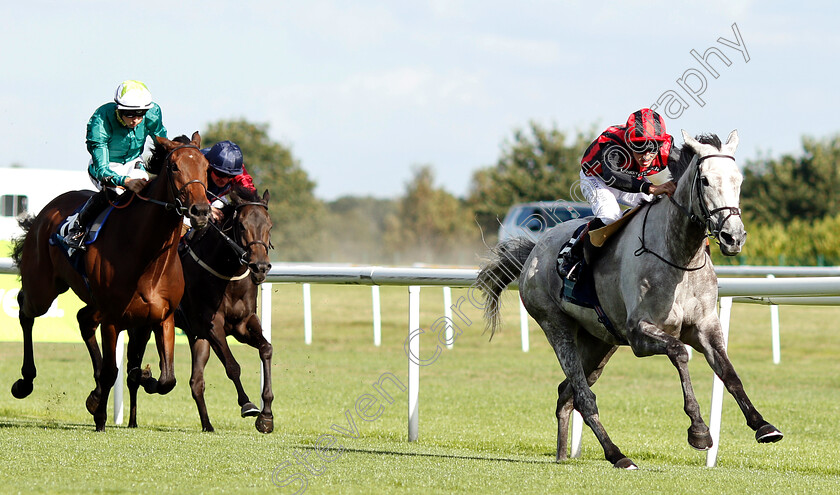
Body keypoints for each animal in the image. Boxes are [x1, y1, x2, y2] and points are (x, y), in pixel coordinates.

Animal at [10, 132, 212, 430]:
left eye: (206, 168)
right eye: (174, 167)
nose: (200, 211)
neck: (147, 256)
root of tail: (45, 212)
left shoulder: (162, 317)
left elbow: (166, 379)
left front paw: (142, 379)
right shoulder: (113, 318)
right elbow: (111, 371)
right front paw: (99, 412)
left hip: (93, 303)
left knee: (83, 319)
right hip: (43, 289)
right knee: (25, 309)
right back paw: (25, 380)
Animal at [125, 184, 276, 432]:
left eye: (269, 226)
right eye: (242, 225)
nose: (260, 267)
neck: (227, 275)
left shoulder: (243, 324)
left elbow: (266, 349)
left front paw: (266, 415)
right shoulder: (212, 325)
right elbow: (232, 366)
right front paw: (248, 405)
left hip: (196, 336)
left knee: (195, 382)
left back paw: (207, 425)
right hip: (141, 327)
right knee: (132, 372)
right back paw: (132, 417)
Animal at [476, 129, 784, 468]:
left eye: (738, 179)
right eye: (704, 180)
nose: (734, 237)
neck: (679, 256)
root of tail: (534, 250)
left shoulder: (706, 326)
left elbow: (729, 373)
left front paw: (763, 425)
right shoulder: (639, 333)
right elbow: (679, 352)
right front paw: (699, 431)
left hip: (600, 342)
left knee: (566, 393)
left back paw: (563, 454)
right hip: (557, 327)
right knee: (584, 395)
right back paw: (617, 455)